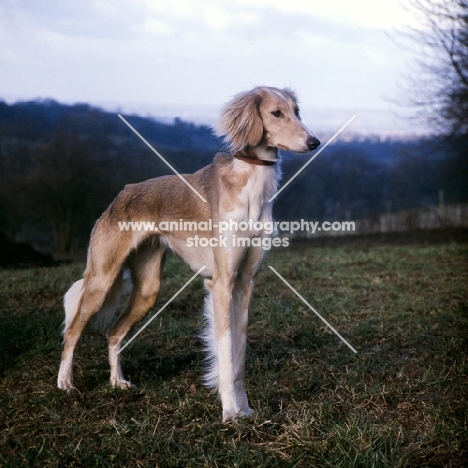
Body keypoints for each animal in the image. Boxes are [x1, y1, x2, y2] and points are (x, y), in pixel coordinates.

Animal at [57, 86, 318, 422]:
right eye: (276, 113)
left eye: (297, 111)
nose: (314, 142)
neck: (252, 186)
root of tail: (121, 194)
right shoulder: (221, 283)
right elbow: (225, 352)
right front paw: (230, 412)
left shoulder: (245, 282)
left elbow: (239, 355)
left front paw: (246, 410)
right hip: (102, 279)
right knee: (73, 331)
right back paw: (65, 383)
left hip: (148, 290)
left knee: (113, 333)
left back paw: (117, 383)